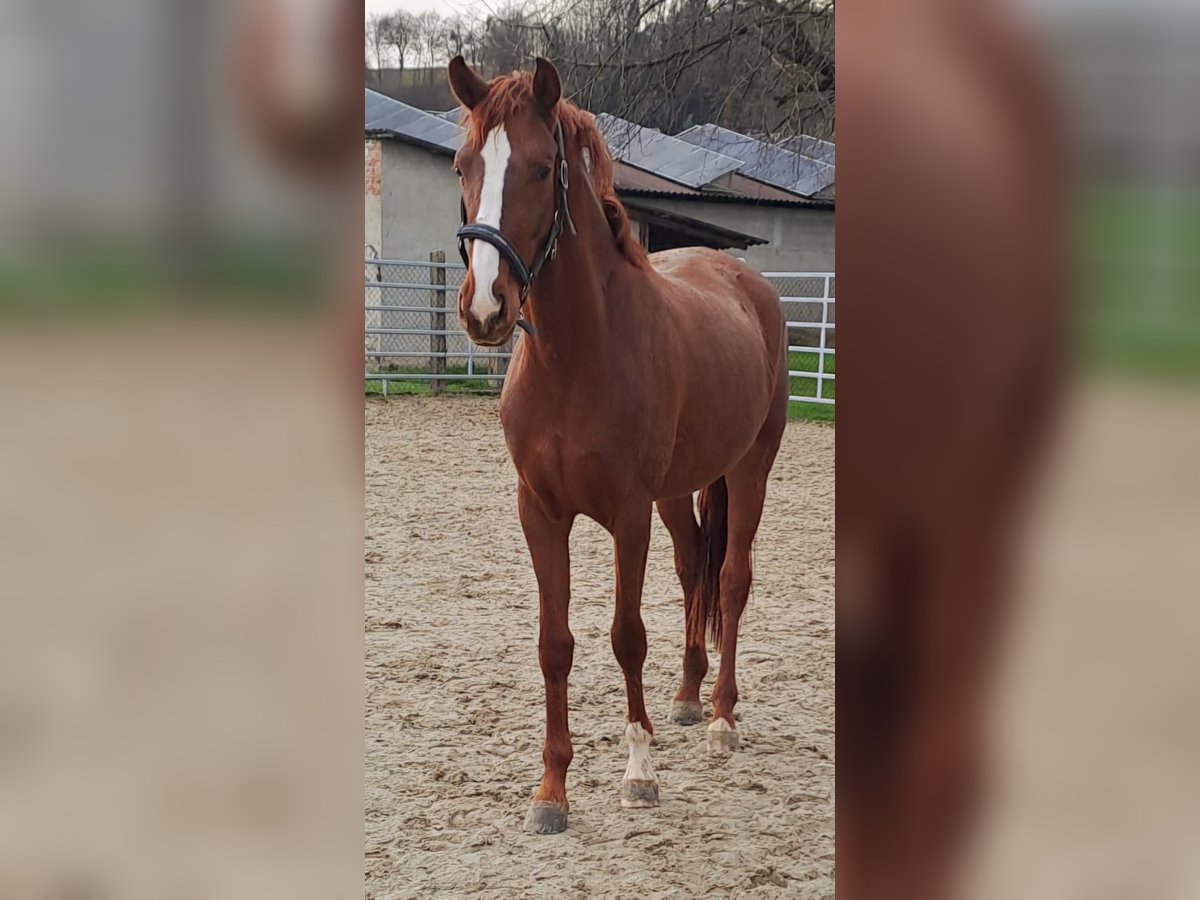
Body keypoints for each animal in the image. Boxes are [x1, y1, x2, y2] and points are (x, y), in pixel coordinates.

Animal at [448, 54, 787, 830]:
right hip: (680, 491)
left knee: (731, 580)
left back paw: (721, 718)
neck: (578, 357)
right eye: (462, 165)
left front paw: (638, 770)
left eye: (542, 168)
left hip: (750, 470)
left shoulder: (628, 516)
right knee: (694, 570)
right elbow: (555, 645)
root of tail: (745, 279)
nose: (485, 308)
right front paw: (551, 791)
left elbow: (625, 635)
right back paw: (686, 699)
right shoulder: (541, 514)